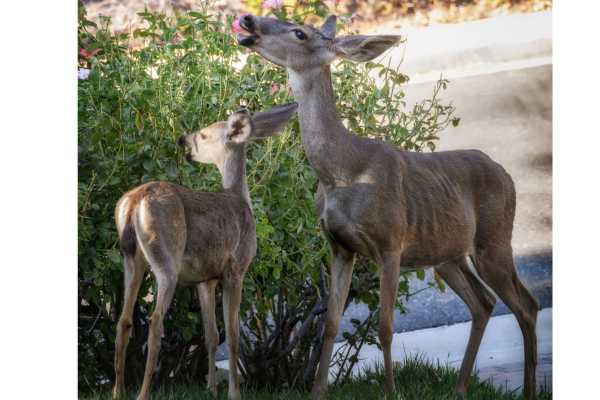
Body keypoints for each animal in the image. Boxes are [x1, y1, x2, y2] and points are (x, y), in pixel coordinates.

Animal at [111, 104, 298, 400]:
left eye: (204, 134)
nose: (182, 140)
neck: (240, 199)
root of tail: (134, 201)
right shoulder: (236, 268)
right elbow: (232, 335)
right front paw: (234, 392)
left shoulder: (205, 278)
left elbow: (211, 335)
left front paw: (211, 388)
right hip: (166, 258)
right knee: (155, 321)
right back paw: (142, 393)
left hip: (131, 258)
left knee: (124, 320)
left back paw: (118, 391)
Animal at [237, 14, 540, 398]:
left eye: (299, 33)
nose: (248, 20)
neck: (342, 171)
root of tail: (507, 175)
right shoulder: (339, 246)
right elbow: (331, 323)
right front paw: (318, 390)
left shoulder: (391, 243)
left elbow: (384, 327)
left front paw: (391, 391)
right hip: (447, 255)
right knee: (483, 303)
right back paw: (459, 388)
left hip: (494, 240)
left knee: (526, 305)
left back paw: (527, 389)